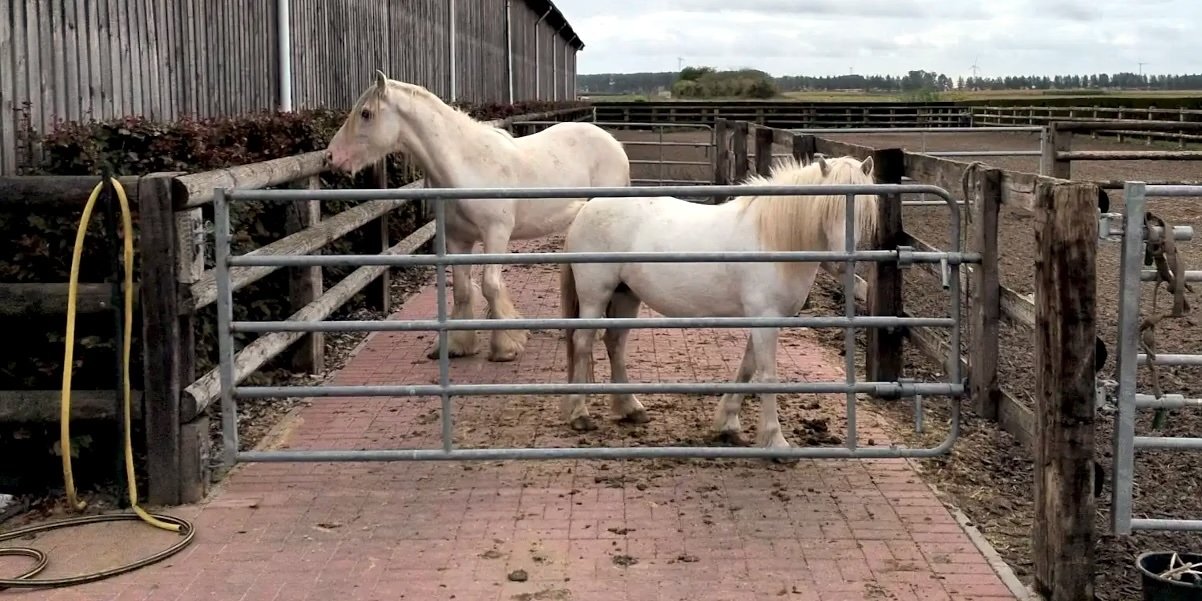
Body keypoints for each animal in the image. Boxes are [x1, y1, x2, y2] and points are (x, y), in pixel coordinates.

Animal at [324, 70, 631, 362]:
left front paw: (506, 346)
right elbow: (461, 288)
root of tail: (614, 144)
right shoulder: (458, 238)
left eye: (366, 113)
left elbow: (490, 286)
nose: (330, 157)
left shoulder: (496, 234)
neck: (467, 165)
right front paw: (458, 345)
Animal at [558, 155, 879, 450]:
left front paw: (727, 424)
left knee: (614, 343)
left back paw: (630, 408)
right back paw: (580, 414)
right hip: (595, 296)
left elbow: (747, 368)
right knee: (583, 343)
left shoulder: (765, 320)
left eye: (862, 208)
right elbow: (767, 375)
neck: (772, 239)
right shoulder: (765, 319)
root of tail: (586, 208)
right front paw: (775, 441)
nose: (842, 261)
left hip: (627, 296)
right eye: (827, 205)